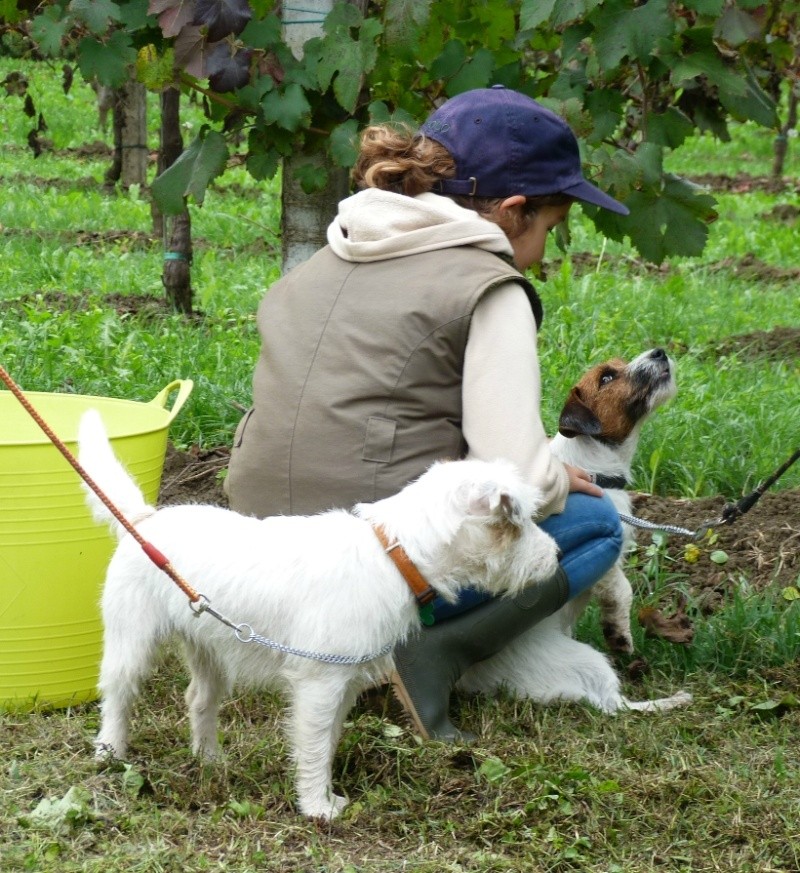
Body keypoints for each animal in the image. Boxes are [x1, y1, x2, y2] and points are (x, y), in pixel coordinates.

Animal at [78, 408, 560, 816]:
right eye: (517, 523)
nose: (555, 556)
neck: (395, 552)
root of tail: (144, 521)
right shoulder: (319, 685)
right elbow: (312, 748)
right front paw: (316, 807)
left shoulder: (342, 685)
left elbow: (326, 743)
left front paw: (326, 797)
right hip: (132, 642)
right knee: (117, 696)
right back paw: (109, 754)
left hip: (209, 649)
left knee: (199, 699)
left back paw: (210, 760)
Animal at [460, 350, 692, 716]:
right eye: (607, 378)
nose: (659, 351)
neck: (595, 468)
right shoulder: (609, 555)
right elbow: (622, 590)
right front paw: (619, 632)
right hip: (586, 661)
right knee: (616, 705)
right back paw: (670, 700)